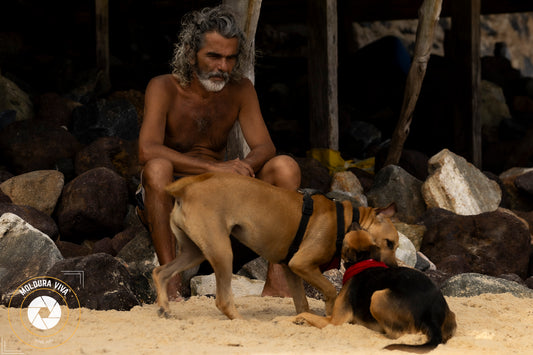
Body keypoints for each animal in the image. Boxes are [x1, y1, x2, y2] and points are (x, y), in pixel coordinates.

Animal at [152, 171, 396, 322]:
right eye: (390, 243)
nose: (394, 267)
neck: (346, 220)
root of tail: (188, 187)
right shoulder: (302, 265)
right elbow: (329, 289)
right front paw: (328, 311)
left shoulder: (292, 270)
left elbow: (302, 304)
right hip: (222, 253)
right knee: (223, 300)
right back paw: (241, 321)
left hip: (194, 253)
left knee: (160, 272)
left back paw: (164, 308)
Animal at [294, 229, 456, 352]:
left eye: (346, 238)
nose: (355, 221)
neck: (364, 262)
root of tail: (432, 317)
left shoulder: (335, 321)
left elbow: (306, 314)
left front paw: (298, 319)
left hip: (377, 297)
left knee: (399, 334)